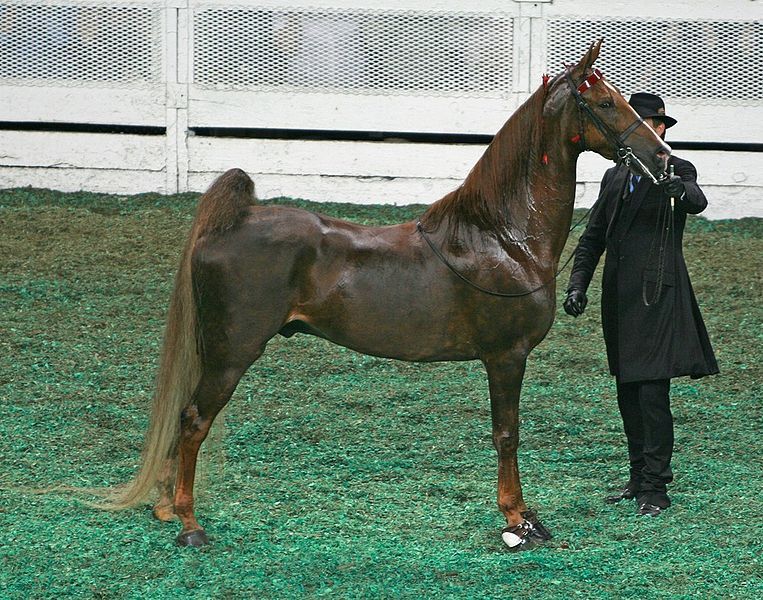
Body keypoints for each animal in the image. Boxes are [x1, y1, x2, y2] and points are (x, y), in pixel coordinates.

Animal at [100, 41, 668, 548]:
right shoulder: (506, 357)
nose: (662, 159)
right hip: (230, 355)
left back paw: (166, 507)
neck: (504, 238)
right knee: (194, 421)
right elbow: (507, 434)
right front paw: (517, 521)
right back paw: (190, 525)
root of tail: (231, 221)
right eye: (604, 103)